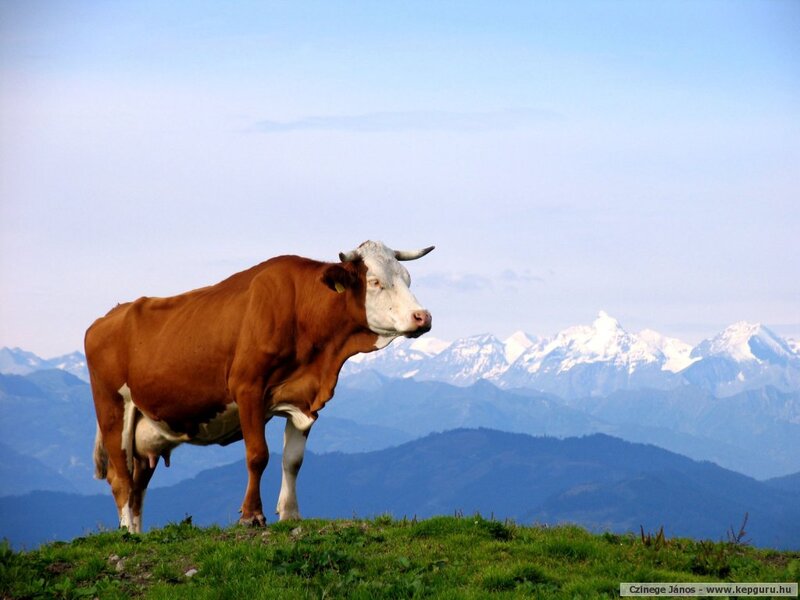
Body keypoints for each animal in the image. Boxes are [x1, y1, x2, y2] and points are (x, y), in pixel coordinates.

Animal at [85, 240, 433, 532]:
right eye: (374, 282)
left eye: (407, 278)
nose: (423, 317)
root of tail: (108, 317)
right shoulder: (248, 388)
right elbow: (258, 455)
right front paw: (252, 516)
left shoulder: (304, 398)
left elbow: (293, 460)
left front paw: (291, 514)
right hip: (113, 409)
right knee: (120, 478)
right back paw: (126, 534)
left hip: (145, 428)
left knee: (138, 484)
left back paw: (138, 533)